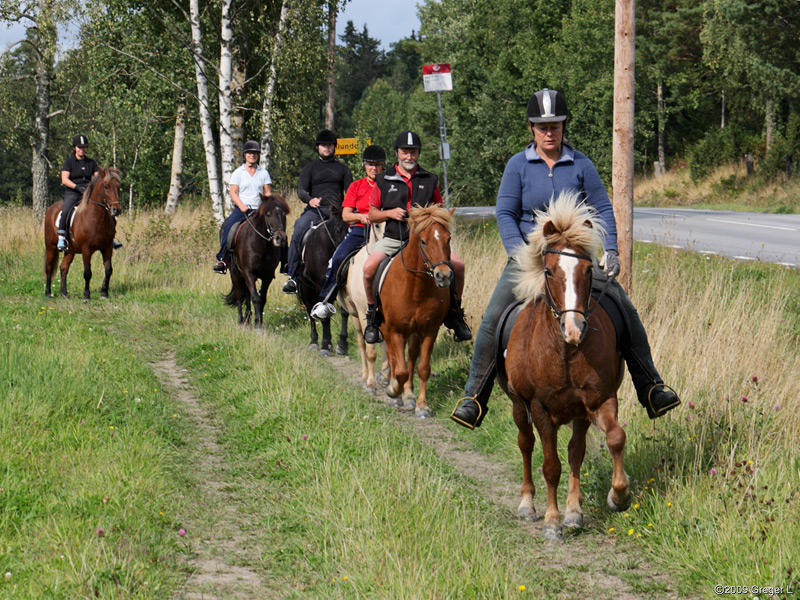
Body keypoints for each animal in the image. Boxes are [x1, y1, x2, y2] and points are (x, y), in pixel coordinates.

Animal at [43, 166, 122, 300]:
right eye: (106, 186)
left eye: (118, 186)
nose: (117, 209)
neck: (96, 218)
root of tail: (51, 209)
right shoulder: (86, 249)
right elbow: (87, 273)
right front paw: (86, 296)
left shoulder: (107, 247)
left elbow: (108, 270)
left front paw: (104, 293)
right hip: (51, 247)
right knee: (49, 267)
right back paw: (48, 293)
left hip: (70, 251)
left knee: (63, 268)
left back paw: (64, 293)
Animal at [223, 196, 290, 328]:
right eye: (268, 214)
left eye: (284, 214)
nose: (280, 238)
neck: (261, 244)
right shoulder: (249, 273)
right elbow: (255, 298)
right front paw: (257, 324)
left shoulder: (267, 275)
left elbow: (262, 298)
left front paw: (259, 323)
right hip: (236, 275)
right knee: (240, 296)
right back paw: (241, 321)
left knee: (247, 295)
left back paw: (248, 318)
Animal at [298, 204, 348, 356]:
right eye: (337, 229)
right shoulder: (320, 285)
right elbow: (323, 315)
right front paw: (325, 345)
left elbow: (344, 312)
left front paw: (341, 344)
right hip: (306, 288)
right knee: (310, 311)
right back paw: (314, 342)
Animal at [338, 223, 388, 396]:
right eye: (377, 225)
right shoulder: (364, 314)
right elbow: (370, 351)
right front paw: (371, 384)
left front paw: (386, 376)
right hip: (356, 316)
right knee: (361, 342)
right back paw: (364, 376)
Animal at [496, 192, 628, 540]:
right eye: (550, 272)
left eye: (588, 270)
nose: (574, 329)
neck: (565, 352)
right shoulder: (540, 407)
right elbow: (550, 465)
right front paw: (553, 520)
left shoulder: (597, 400)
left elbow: (610, 439)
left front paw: (615, 497)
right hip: (518, 404)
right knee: (526, 444)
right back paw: (528, 504)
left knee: (572, 451)